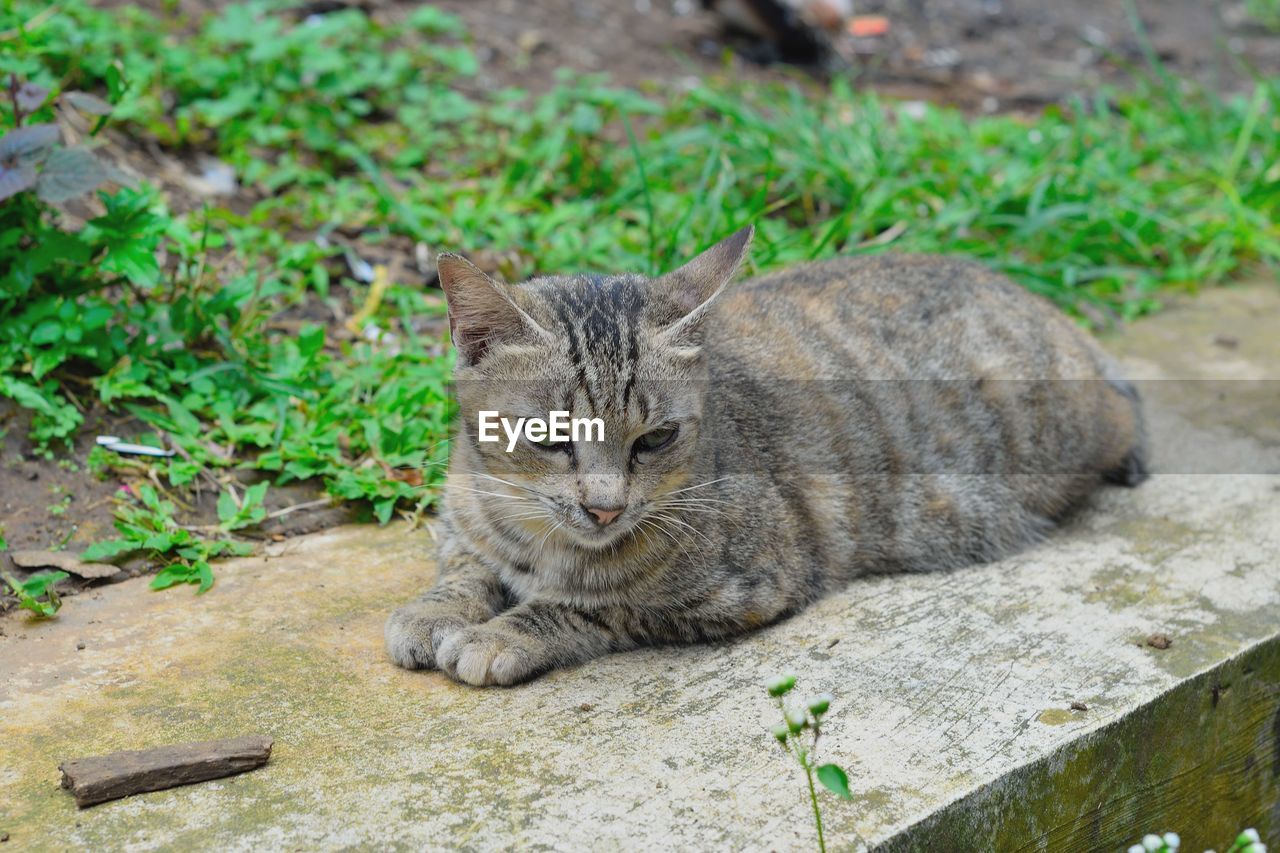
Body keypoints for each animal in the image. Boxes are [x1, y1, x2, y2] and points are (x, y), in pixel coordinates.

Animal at [381, 225, 1152, 686]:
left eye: (655, 438)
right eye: (547, 438)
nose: (605, 508)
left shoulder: (749, 583)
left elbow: (596, 604)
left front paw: (507, 632)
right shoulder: (464, 521)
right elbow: (465, 567)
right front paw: (435, 609)